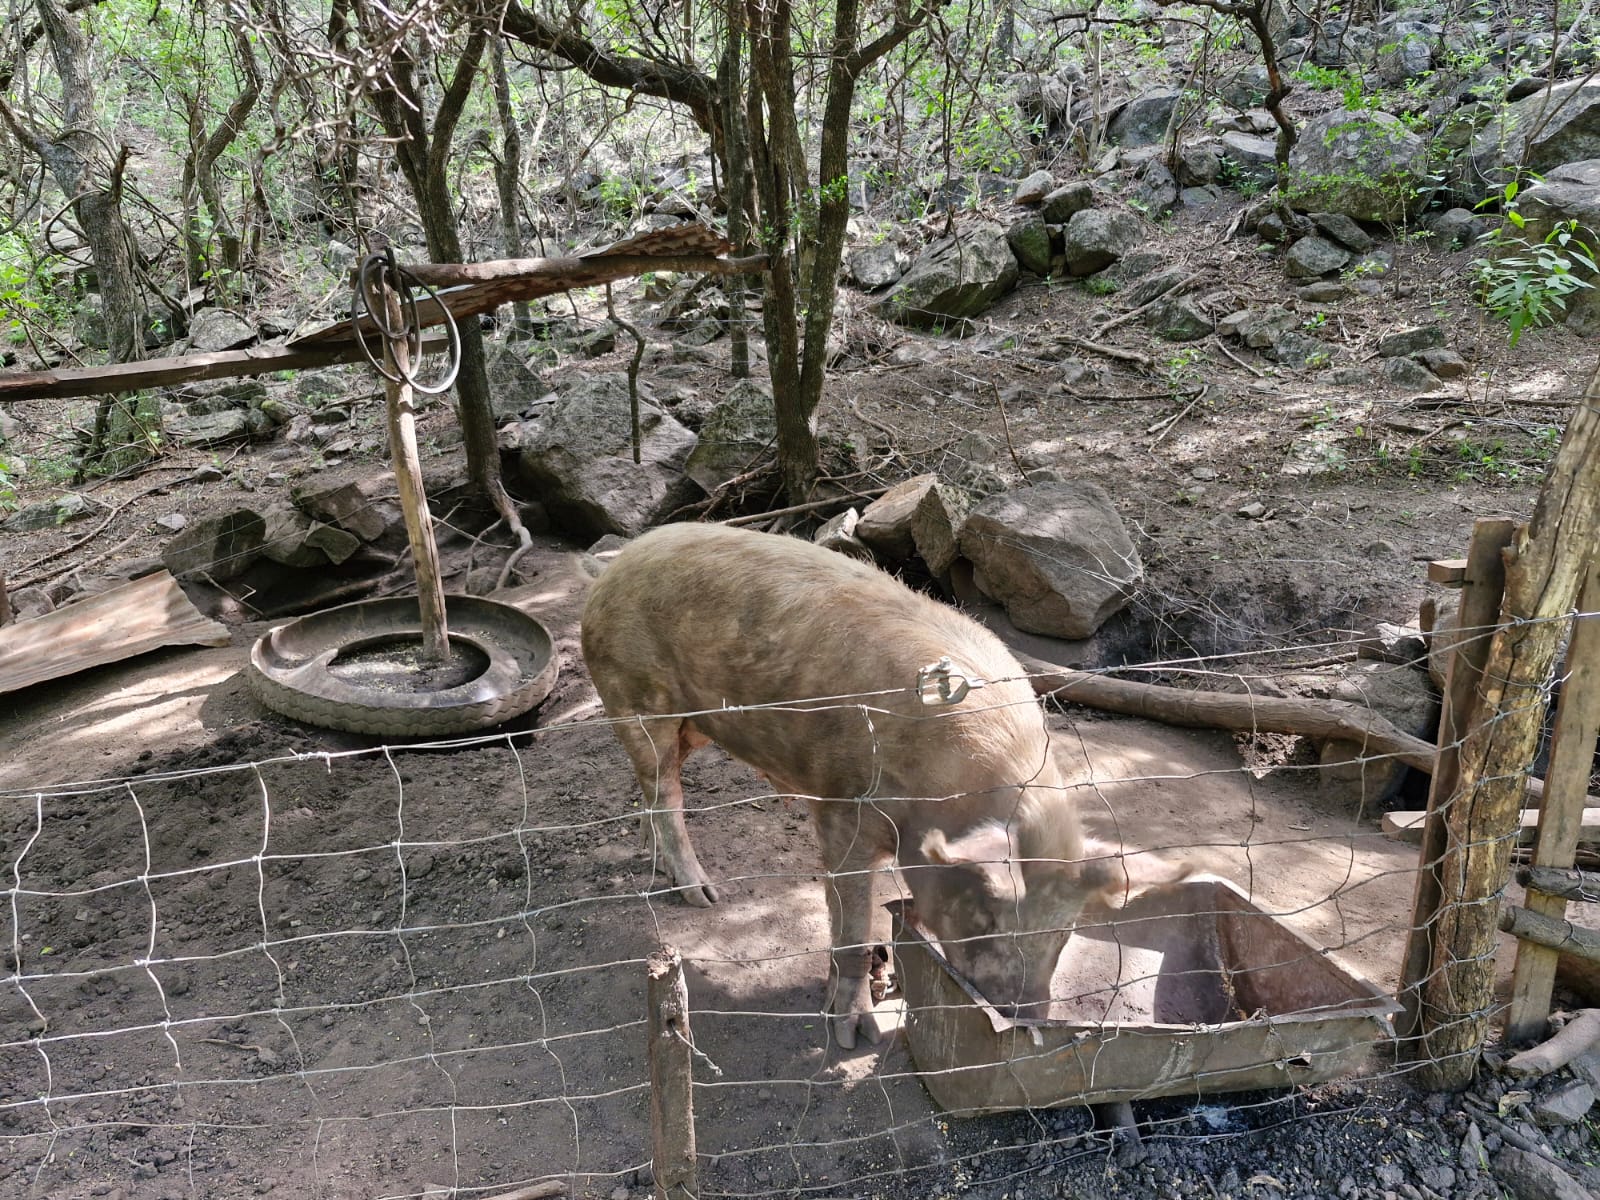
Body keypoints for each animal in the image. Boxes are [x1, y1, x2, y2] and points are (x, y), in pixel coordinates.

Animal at [580, 522, 1127, 1049]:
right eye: (988, 918)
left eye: (1065, 933)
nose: (1028, 1024)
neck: (947, 788)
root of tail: (615, 564)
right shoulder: (844, 806)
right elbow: (851, 921)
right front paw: (855, 1037)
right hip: (634, 697)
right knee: (664, 791)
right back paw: (704, 895)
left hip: (693, 724)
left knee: (658, 784)